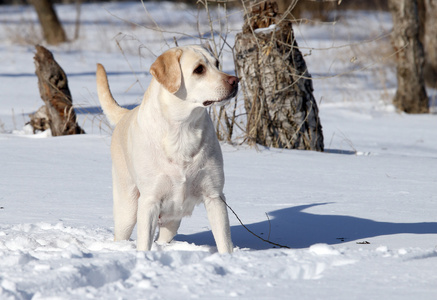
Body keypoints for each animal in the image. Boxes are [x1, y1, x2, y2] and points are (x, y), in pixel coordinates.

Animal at [96, 45, 237, 254]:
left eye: (217, 63)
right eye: (199, 69)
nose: (235, 81)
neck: (182, 130)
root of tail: (126, 113)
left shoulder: (215, 197)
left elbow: (224, 243)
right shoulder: (149, 201)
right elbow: (144, 244)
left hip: (172, 220)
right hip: (127, 210)